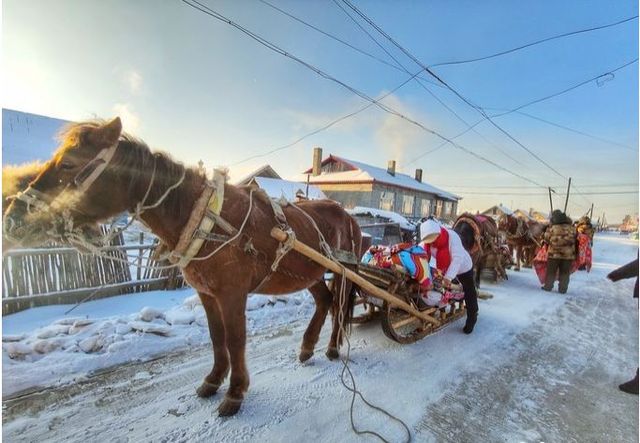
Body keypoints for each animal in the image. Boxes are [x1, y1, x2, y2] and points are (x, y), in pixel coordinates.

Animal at [3, 118, 360, 416]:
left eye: (68, 163)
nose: (13, 217)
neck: (204, 217)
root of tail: (348, 216)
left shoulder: (232, 293)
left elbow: (235, 339)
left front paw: (235, 393)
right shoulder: (207, 293)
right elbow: (217, 337)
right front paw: (213, 380)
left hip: (344, 272)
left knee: (340, 305)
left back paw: (331, 347)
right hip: (310, 273)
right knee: (326, 301)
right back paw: (308, 347)